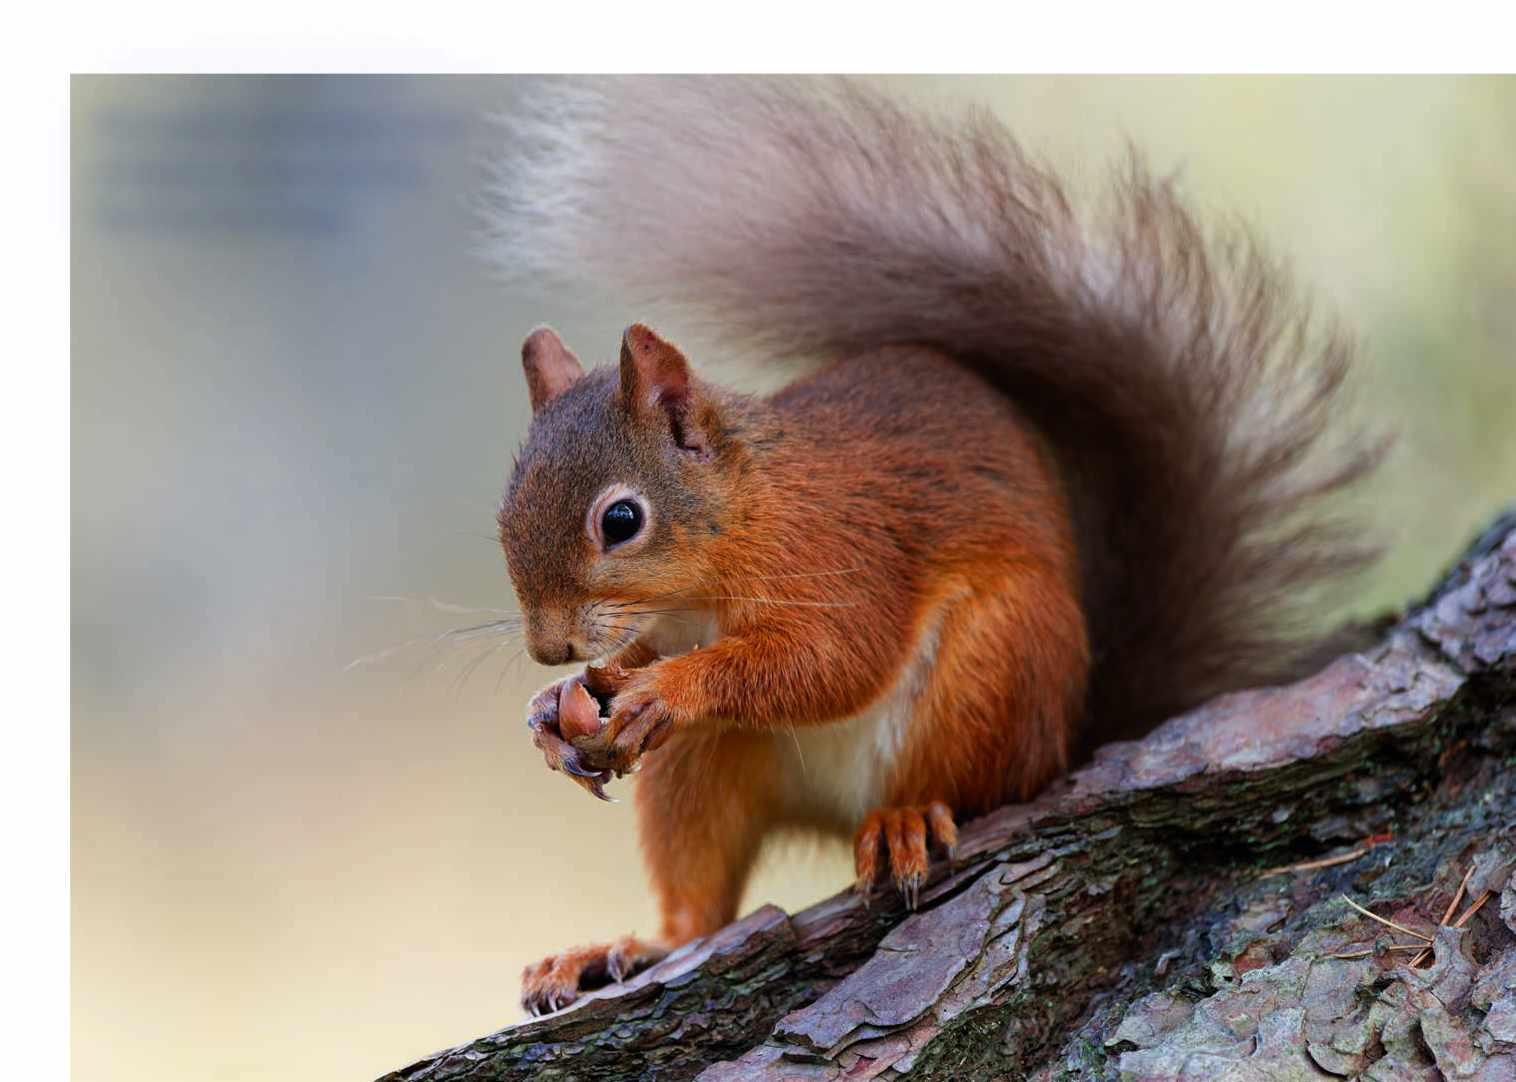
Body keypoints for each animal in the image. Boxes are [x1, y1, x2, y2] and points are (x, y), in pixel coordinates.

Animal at [486, 77, 1383, 1015]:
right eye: (502, 513)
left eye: (621, 521)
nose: (549, 648)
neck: (726, 548)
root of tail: (1073, 727)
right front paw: (553, 709)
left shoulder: (845, 553)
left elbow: (832, 659)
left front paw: (669, 686)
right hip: (708, 763)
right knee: (696, 905)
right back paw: (622, 947)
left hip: (994, 664)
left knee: (982, 786)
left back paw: (908, 818)